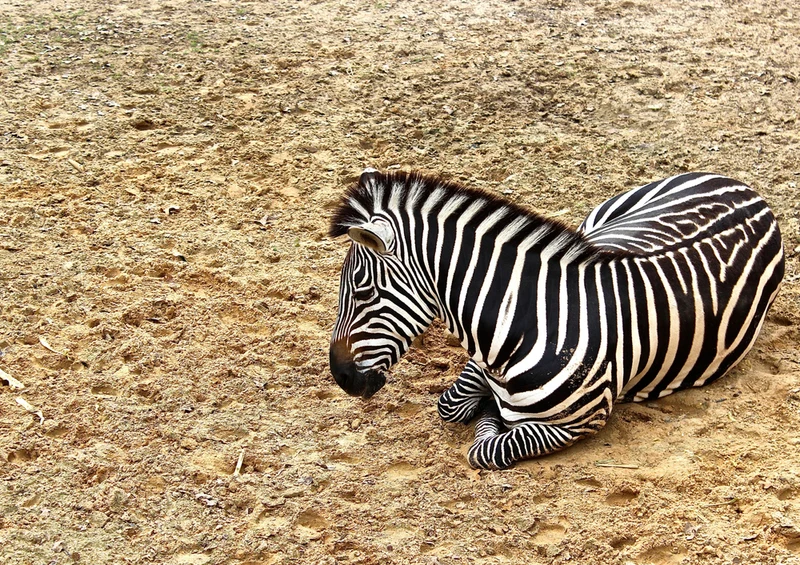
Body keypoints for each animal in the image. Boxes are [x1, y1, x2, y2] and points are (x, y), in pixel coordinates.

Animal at [328, 169, 784, 469]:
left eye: (363, 293)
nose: (341, 378)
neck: (528, 321)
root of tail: (749, 192)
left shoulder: (582, 421)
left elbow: (487, 447)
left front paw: (491, 416)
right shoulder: (479, 363)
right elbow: (451, 405)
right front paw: (486, 405)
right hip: (601, 221)